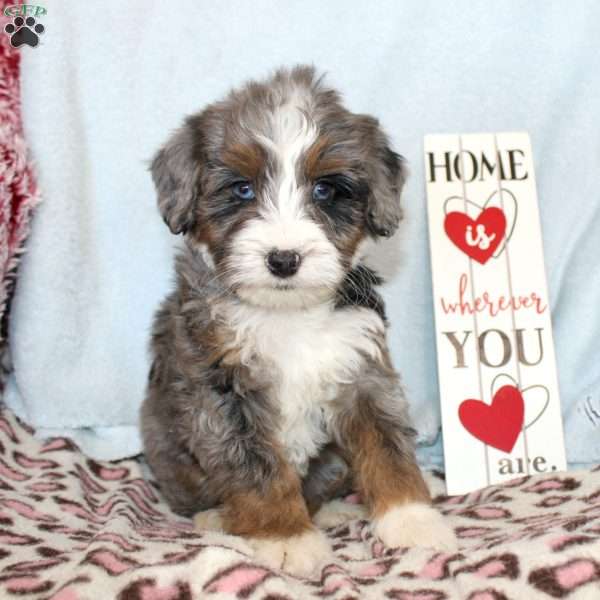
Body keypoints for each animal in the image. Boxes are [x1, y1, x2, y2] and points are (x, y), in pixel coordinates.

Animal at [139, 65, 454, 576]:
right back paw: (216, 517)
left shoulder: (362, 370)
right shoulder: (223, 392)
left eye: (325, 190)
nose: (283, 259)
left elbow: (386, 447)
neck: (288, 315)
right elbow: (258, 469)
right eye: (242, 189)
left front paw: (412, 519)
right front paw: (285, 537)